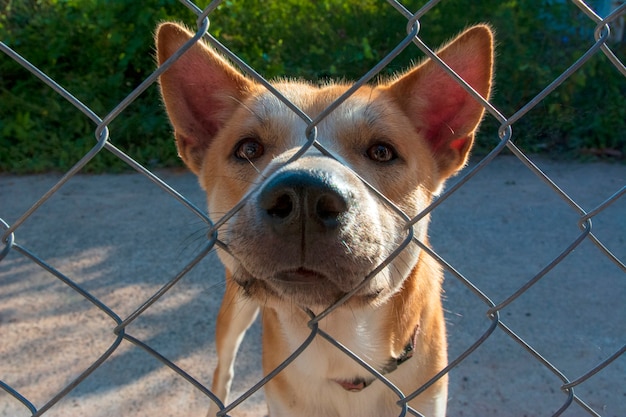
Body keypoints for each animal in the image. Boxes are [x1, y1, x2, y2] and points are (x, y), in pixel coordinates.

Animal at [156, 22, 492, 416]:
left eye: (382, 151)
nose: (304, 195)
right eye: (248, 148)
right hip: (233, 312)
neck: (337, 352)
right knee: (222, 368)